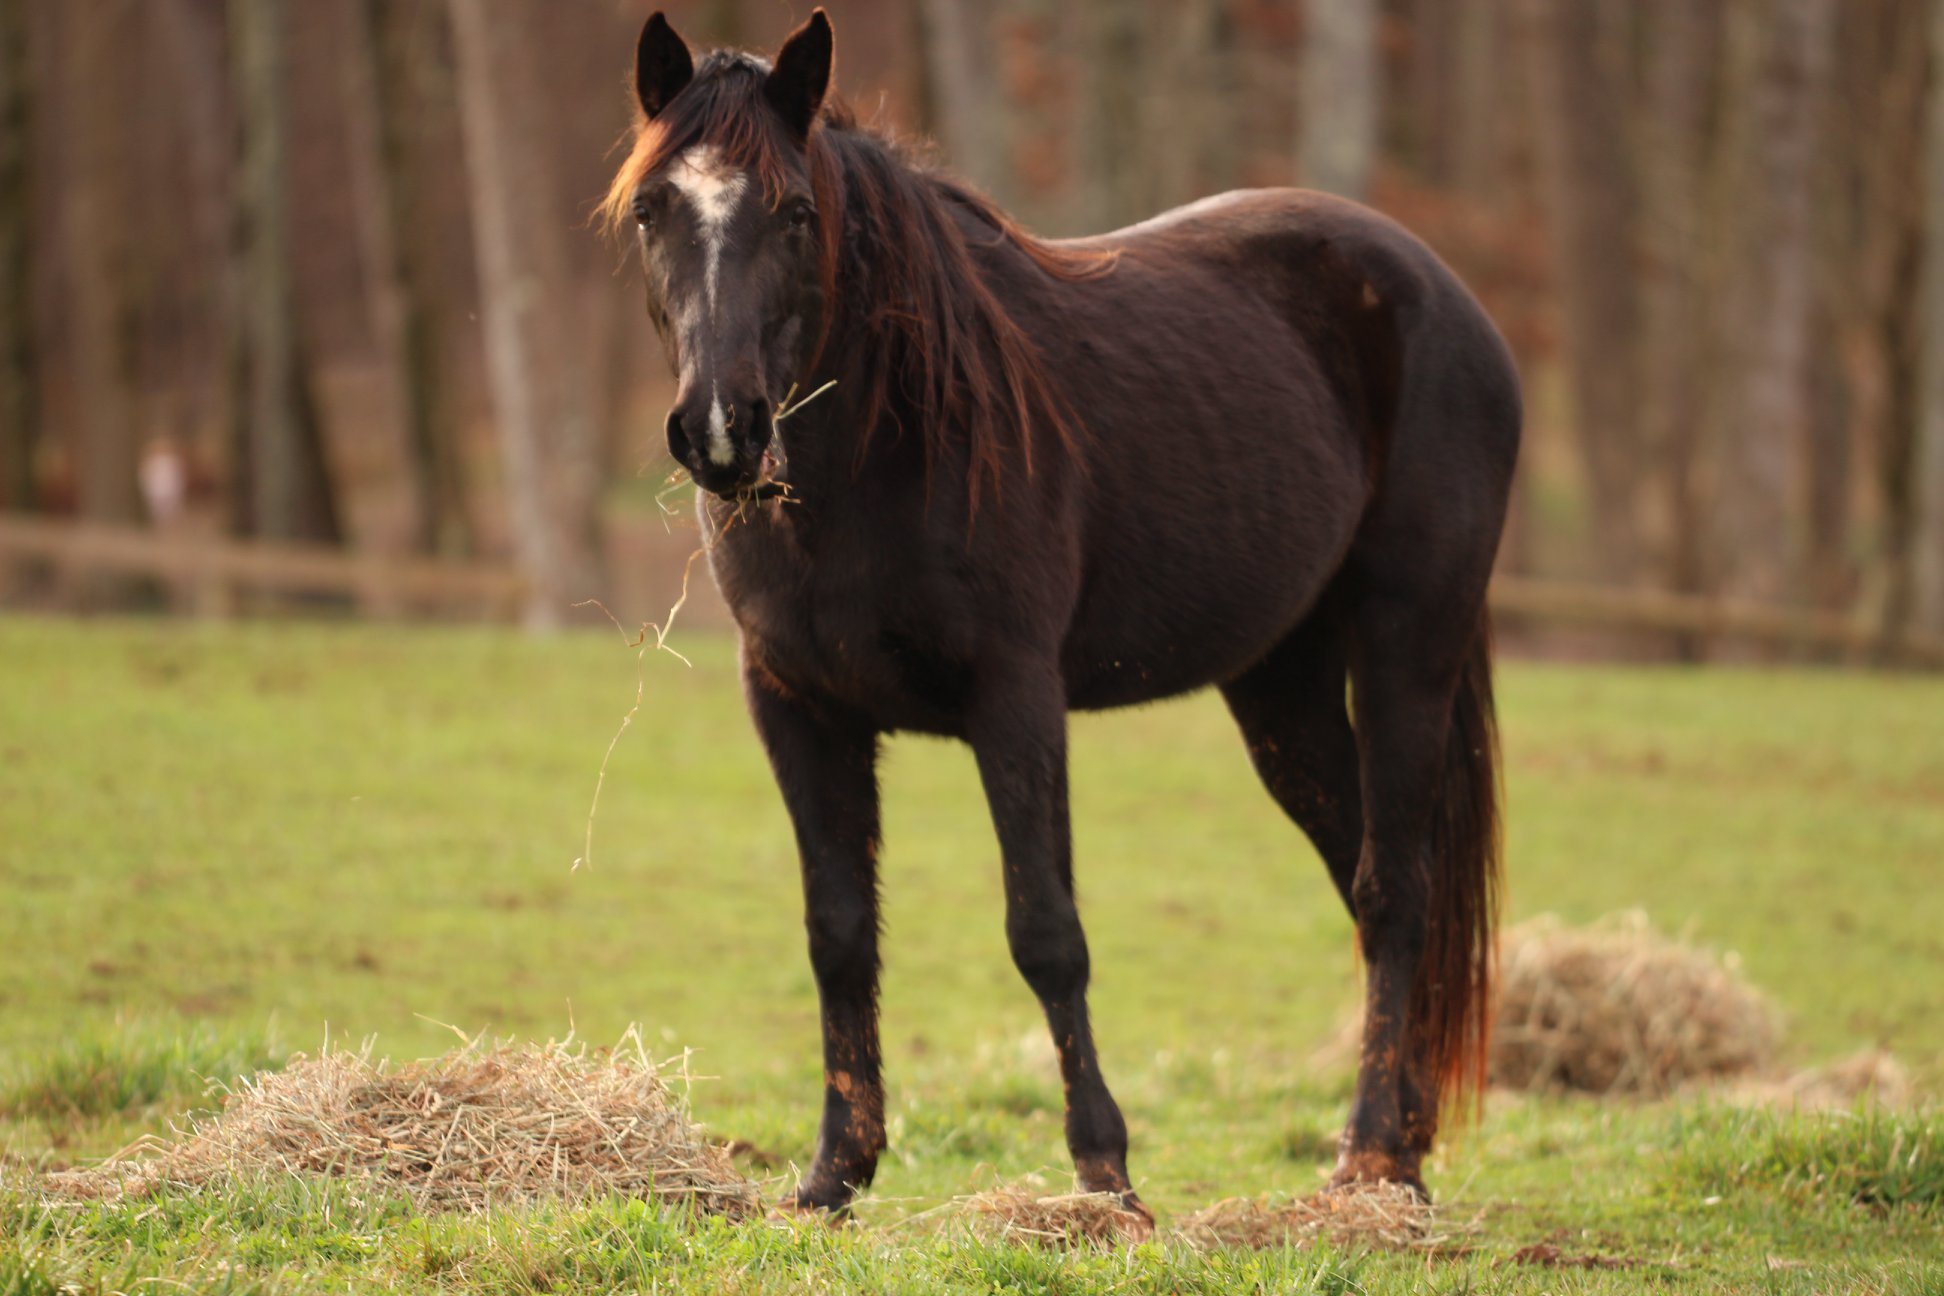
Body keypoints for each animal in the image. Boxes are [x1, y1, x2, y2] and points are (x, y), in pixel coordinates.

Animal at [603, 10, 1519, 1226]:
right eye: (654, 208)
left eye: (795, 212)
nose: (721, 428)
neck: (890, 441)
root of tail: (1444, 291)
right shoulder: (798, 707)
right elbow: (838, 935)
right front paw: (835, 1176)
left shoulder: (1017, 700)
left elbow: (1047, 934)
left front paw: (1107, 1180)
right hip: (1282, 689)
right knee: (1365, 882)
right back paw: (1404, 1154)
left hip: (1409, 646)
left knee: (1397, 890)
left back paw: (1369, 1158)